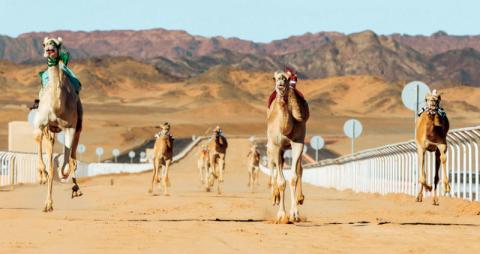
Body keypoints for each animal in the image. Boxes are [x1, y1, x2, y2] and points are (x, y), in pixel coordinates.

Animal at [32, 37, 83, 212]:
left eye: (58, 44)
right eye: (44, 43)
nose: (49, 49)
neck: (57, 107)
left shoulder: (71, 126)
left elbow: (67, 159)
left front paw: (64, 173)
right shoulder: (41, 122)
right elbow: (37, 137)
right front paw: (41, 174)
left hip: (78, 124)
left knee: (73, 155)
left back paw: (75, 188)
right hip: (51, 130)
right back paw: (48, 202)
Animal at [264, 71, 310, 222]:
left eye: (288, 78)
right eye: (274, 77)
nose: (280, 83)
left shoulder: (298, 143)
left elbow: (293, 177)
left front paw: (294, 214)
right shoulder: (276, 146)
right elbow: (281, 181)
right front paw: (281, 215)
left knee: (299, 169)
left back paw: (300, 198)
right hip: (272, 147)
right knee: (273, 167)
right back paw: (275, 197)